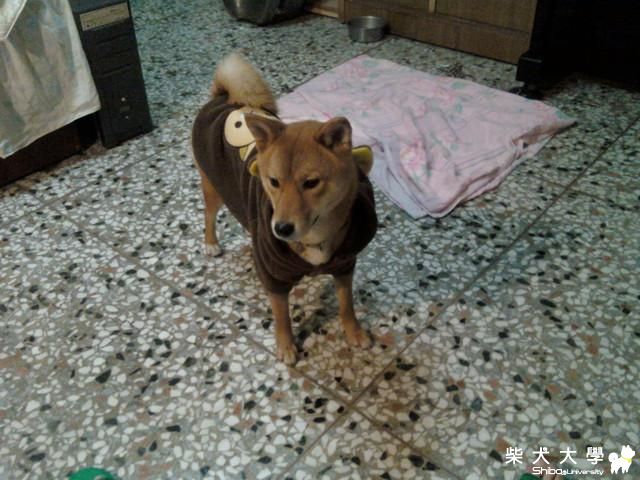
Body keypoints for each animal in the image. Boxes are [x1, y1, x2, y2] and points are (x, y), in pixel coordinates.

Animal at [191, 53, 378, 365]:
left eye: (311, 183)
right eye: (274, 181)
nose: (280, 229)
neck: (316, 240)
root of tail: (222, 98)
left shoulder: (344, 265)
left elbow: (346, 304)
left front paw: (354, 332)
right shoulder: (274, 277)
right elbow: (281, 317)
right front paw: (286, 345)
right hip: (214, 186)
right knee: (208, 215)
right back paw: (211, 243)